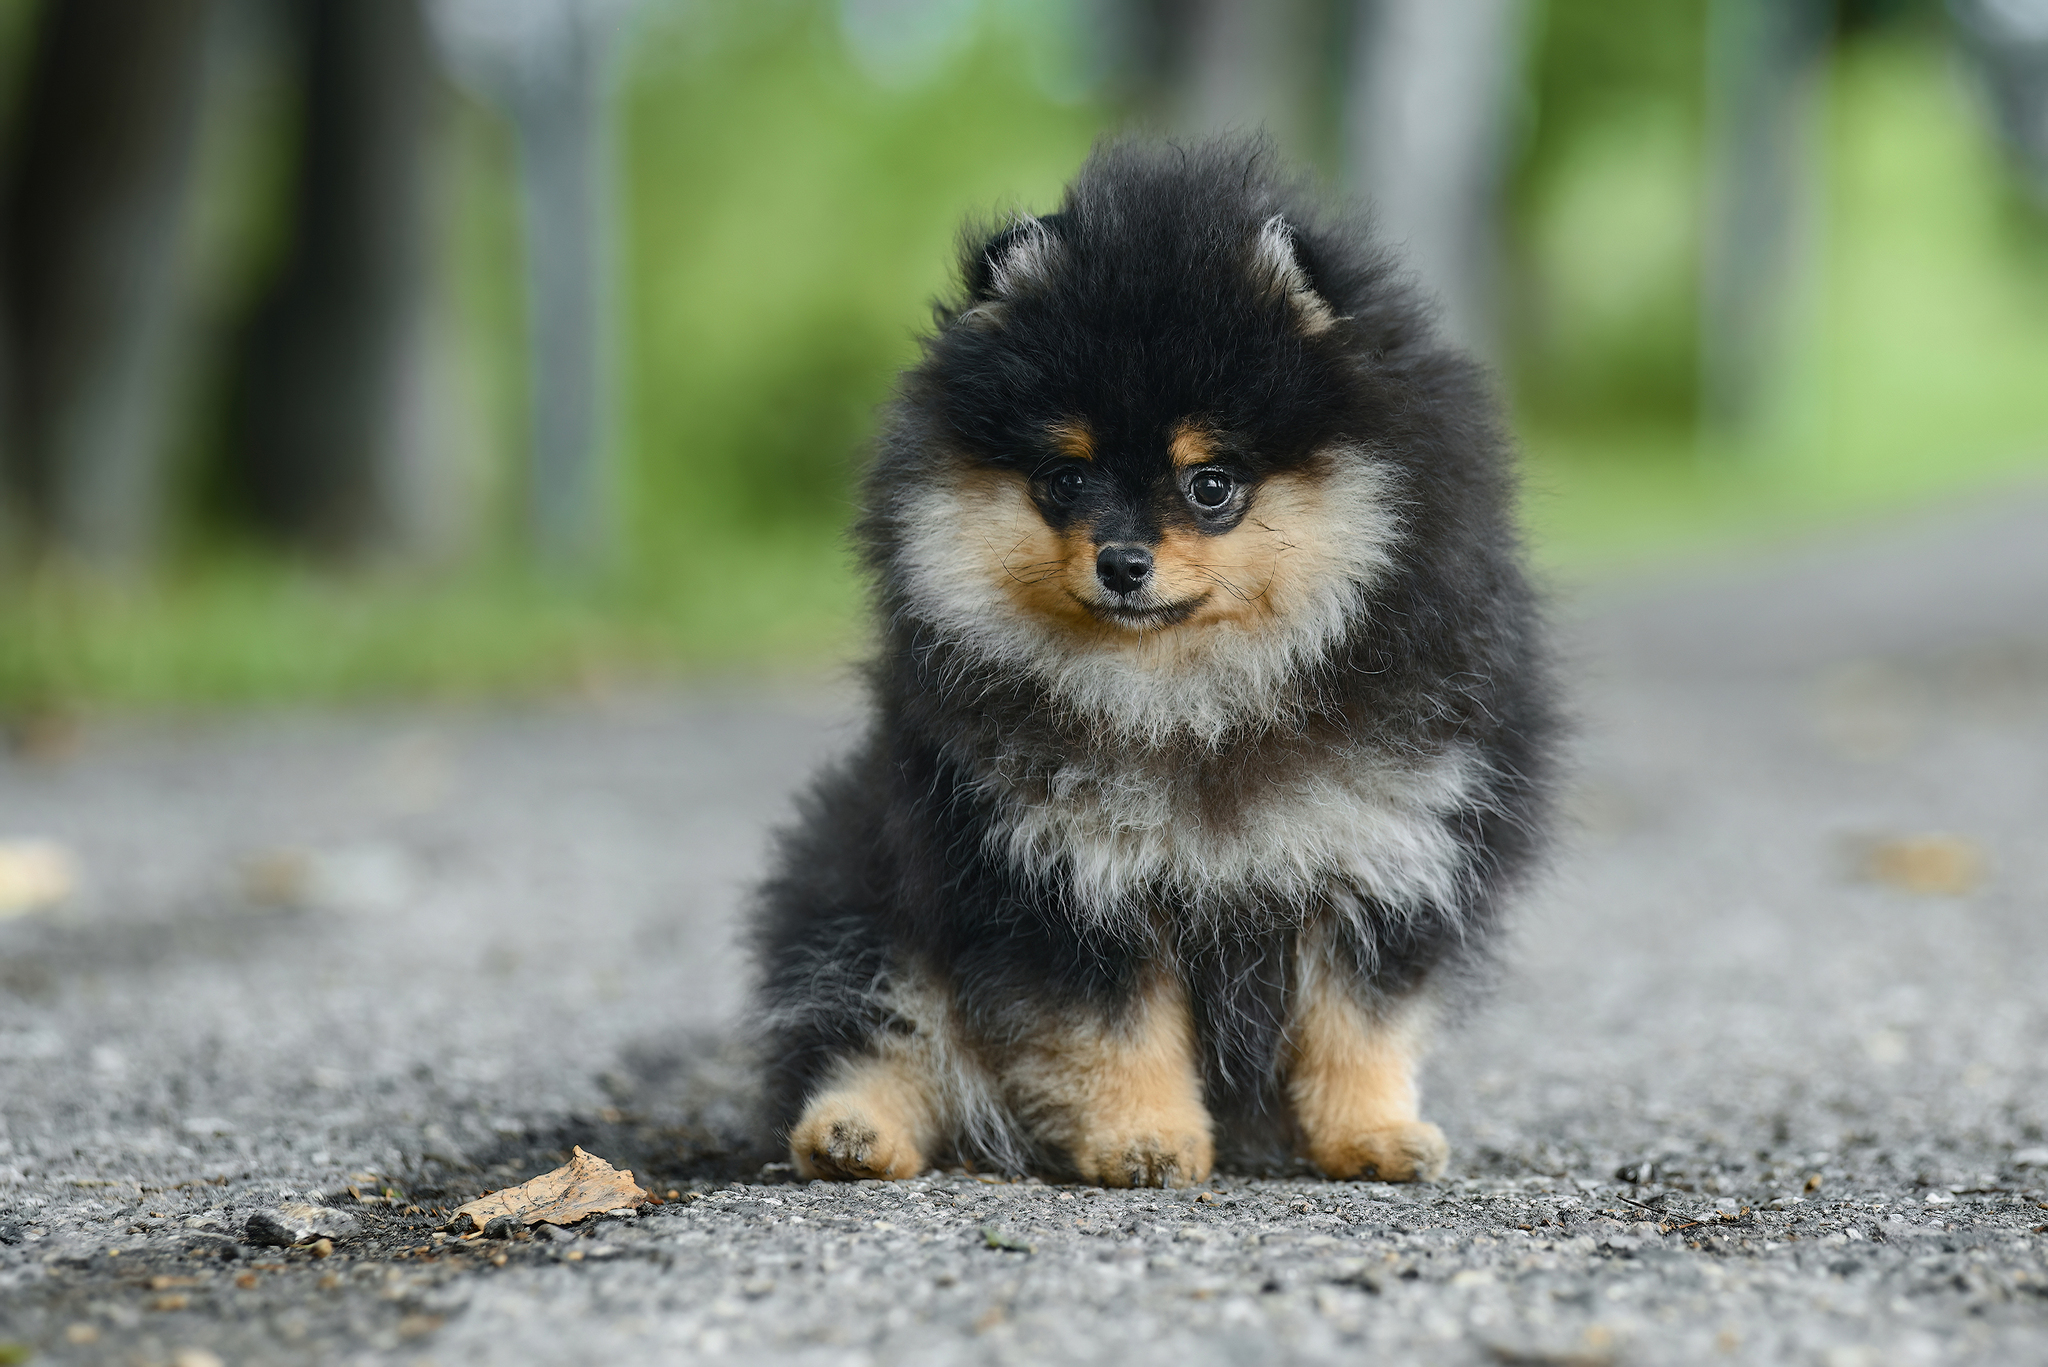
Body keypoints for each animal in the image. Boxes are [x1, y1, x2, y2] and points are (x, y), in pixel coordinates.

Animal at [753, 139, 1548, 1188]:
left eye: (1210, 483)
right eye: (1065, 478)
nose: (1122, 562)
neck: (1189, 697)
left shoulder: (1390, 847)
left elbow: (1360, 1018)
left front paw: (1371, 1133)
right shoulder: (1052, 873)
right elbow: (1113, 1027)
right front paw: (1144, 1139)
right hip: (855, 883)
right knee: (887, 1026)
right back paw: (851, 1131)